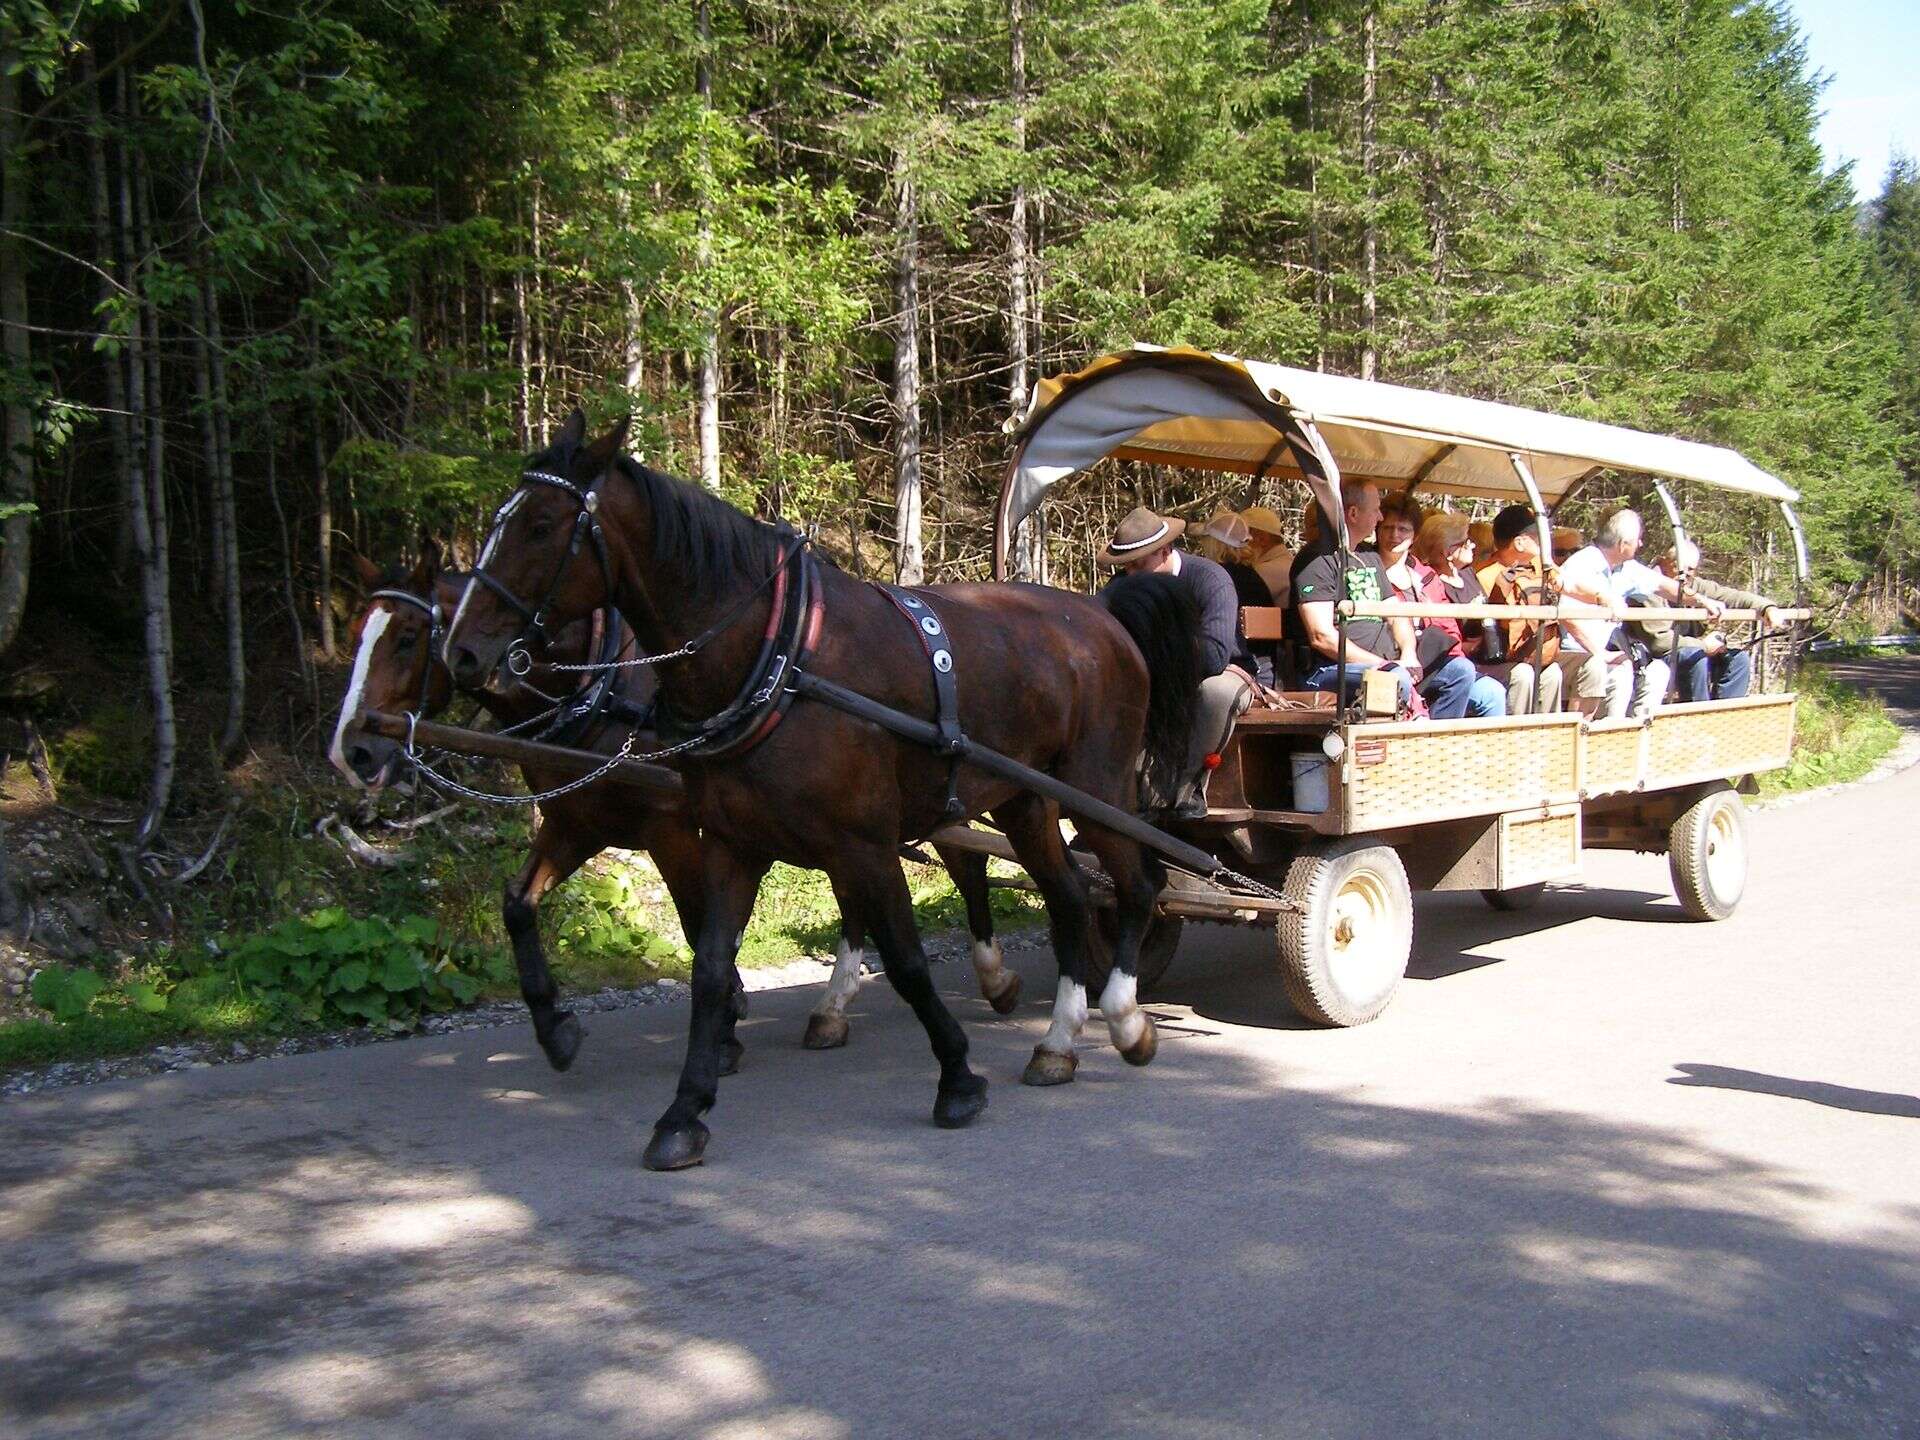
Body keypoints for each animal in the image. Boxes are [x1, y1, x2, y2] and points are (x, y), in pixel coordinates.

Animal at [334, 545, 1021, 1075]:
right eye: (353, 636)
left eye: (405, 638)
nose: (352, 750)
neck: (602, 687)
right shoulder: (576, 822)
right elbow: (518, 904)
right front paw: (555, 1028)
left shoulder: (672, 829)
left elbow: (697, 927)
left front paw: (727, 1027)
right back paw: (835, 1008)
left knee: (964, 867)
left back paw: (993, 975)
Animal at [445, 408, 1198, 1175]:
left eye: (541, 524)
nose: (464, 651)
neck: (781, 658)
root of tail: (1104, 620)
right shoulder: (730, 843)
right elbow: (709, 969)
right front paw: (685, 1112)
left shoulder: (861, 843)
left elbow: (907, 962)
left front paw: (957, 1078)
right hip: (1023, 800)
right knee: (1072, 896)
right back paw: (1058, 1043)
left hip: (1094, 788)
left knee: (1139, 885)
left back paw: (1125, 1018)